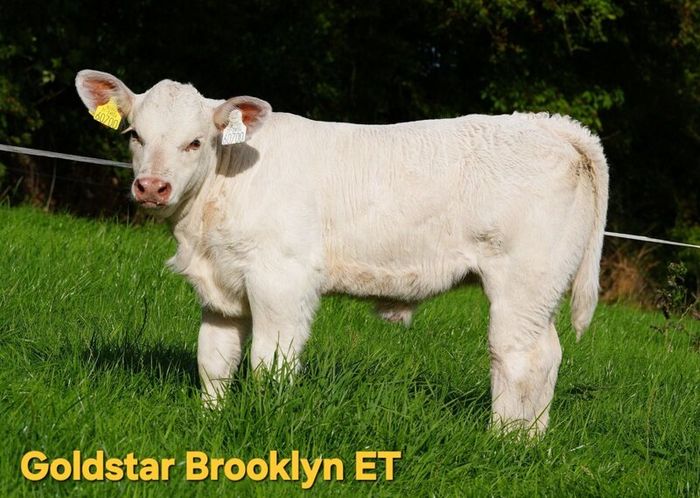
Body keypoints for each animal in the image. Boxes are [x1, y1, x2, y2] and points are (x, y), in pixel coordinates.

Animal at [75, 70, 608, 435]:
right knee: (548, 354)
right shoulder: (220, 286)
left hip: (522, 282)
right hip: (540, 291)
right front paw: (211, 418)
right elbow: (214, 360)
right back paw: (531, 441)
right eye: (135, 135)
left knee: (518, 357)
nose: (152, 187)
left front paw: (267, 419)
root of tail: (549, 125)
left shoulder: (282, 279)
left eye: (196, 142)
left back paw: (503, 442)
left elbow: (271, 362)